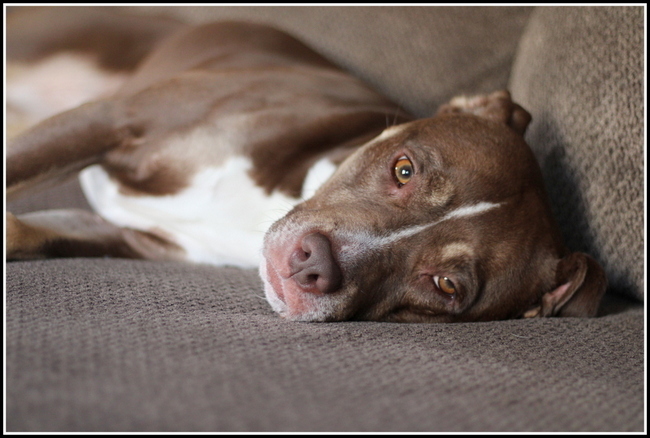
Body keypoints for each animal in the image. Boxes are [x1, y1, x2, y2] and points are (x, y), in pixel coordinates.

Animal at [5, 6, 604, 322]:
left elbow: (29, 231)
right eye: (404, 169)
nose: (313, 263)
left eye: (447, 286)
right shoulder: (110, 120)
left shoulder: (125, 237)